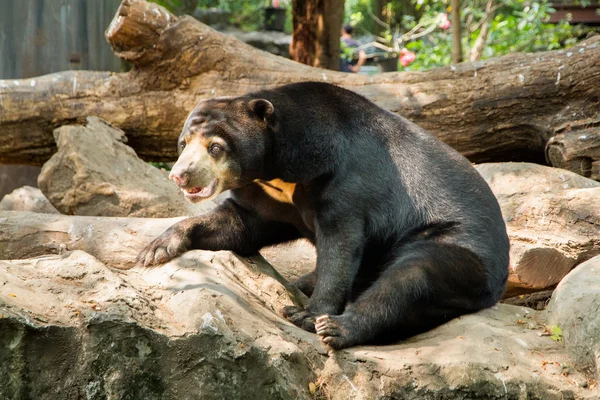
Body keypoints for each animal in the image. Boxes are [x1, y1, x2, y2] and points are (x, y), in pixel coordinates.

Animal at [137, 81, 510, 350]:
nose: (180, 175)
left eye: (215, 147)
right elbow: (239, 223)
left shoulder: (345, 181)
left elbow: (340, 245)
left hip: (457, 246)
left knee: (412, 277)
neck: (281, 168)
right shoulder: (268, 196)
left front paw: (308, 314)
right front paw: (156, 248)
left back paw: (337, 328)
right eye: (183, 143)